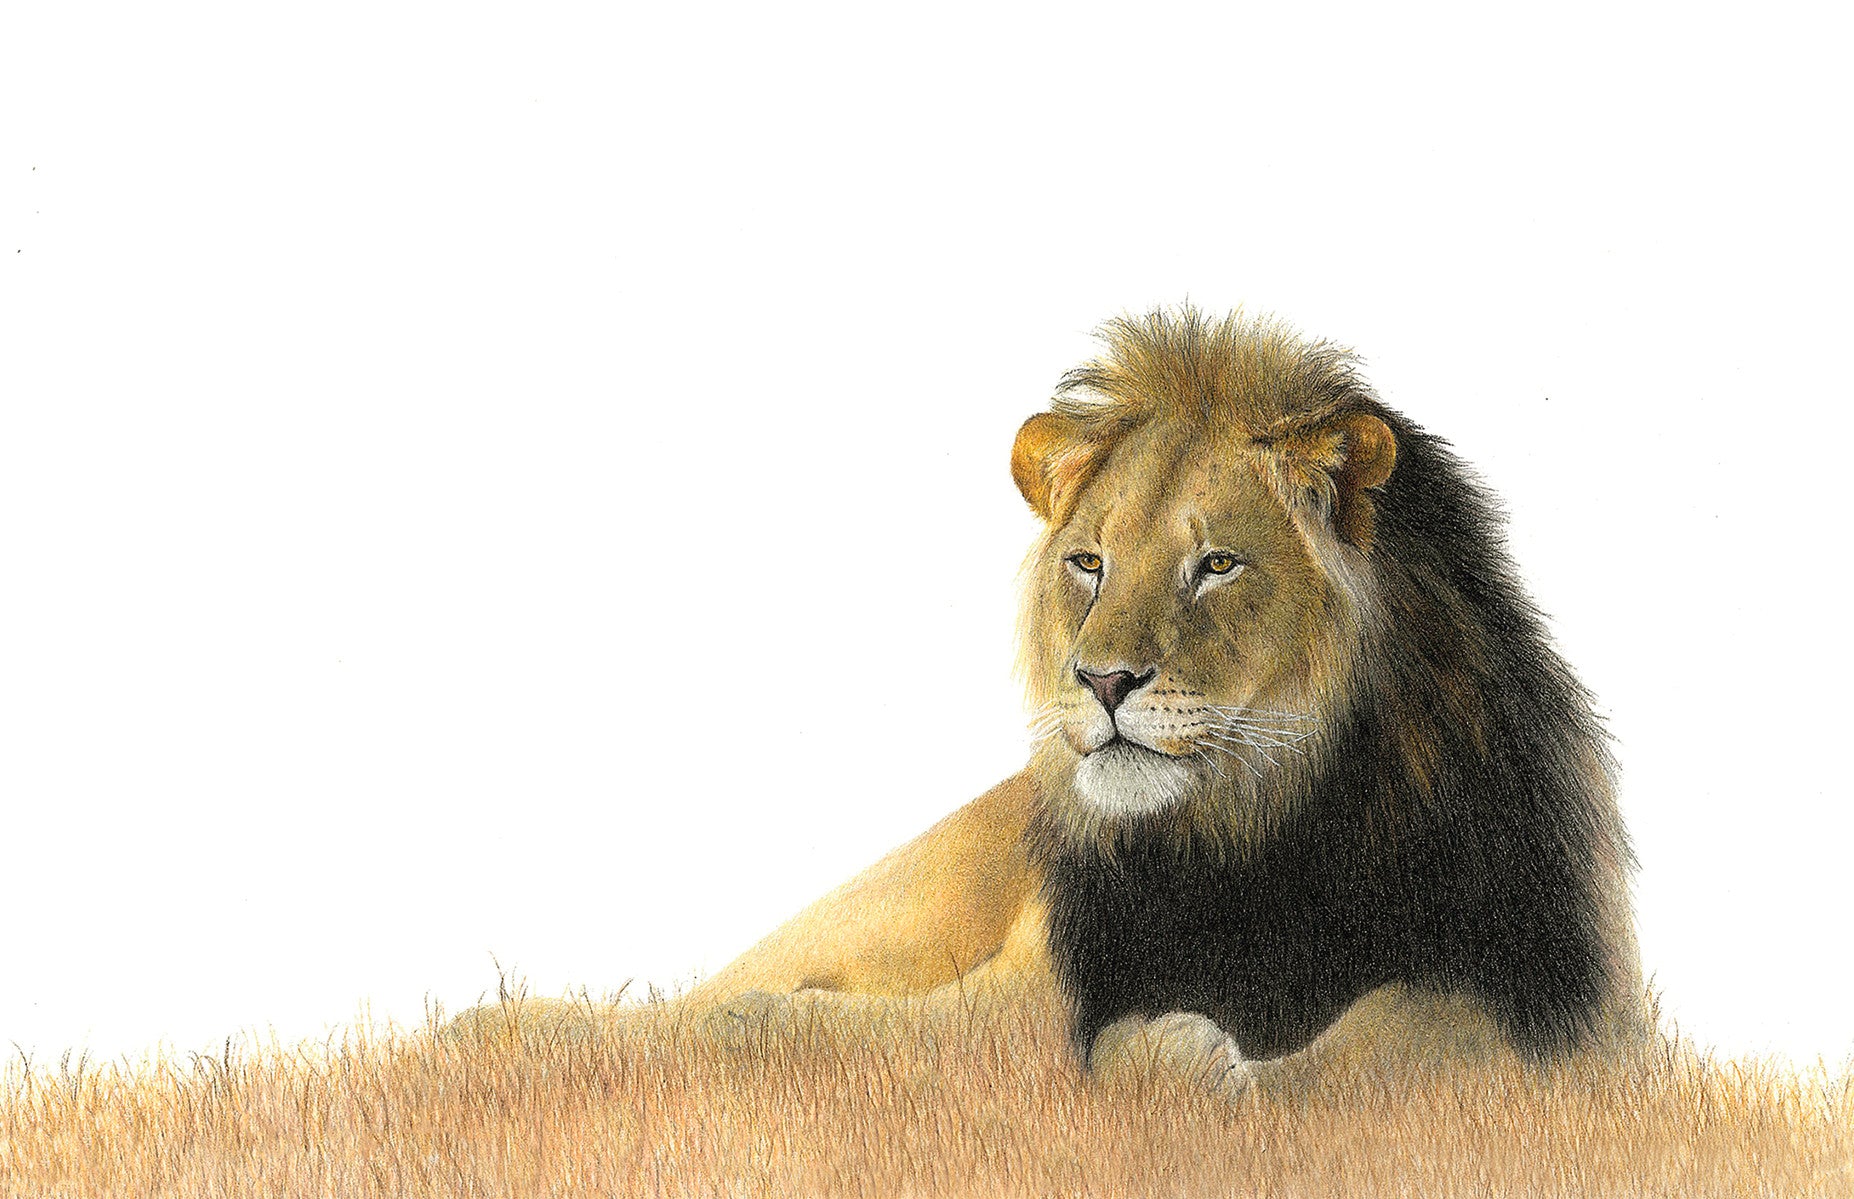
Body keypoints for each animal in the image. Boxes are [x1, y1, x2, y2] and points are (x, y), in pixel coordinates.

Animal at [467, 308, 1644, 1090]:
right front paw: (1170, 1052)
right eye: (1089, 563)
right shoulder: (1046, 988)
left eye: (1217, 564)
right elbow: (888, 1032)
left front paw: (1206, 1059)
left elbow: (1401, 1029)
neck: (1254, 830)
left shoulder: (1555, 997)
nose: (1103, 679)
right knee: (726, 1001)